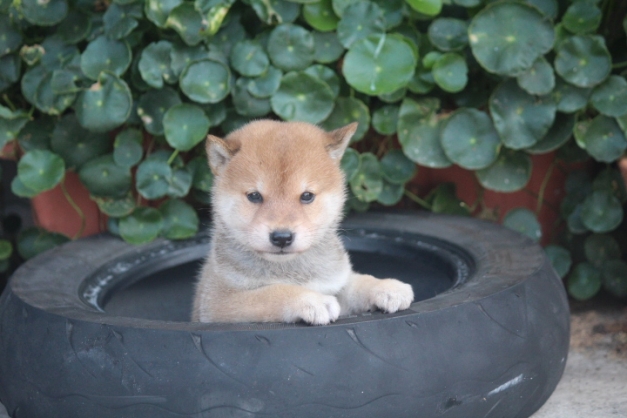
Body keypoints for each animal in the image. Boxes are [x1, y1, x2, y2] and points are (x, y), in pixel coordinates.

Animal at [192, 120, 414, 325]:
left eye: (307, 196)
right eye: (254, 196)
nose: (282, 237)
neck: (293, 269)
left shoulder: (333, 280)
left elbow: (355, 282)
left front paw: (386, 287)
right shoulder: (218, 302)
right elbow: (271, 293)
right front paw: (312, 301)